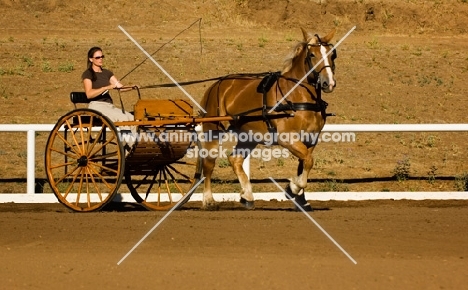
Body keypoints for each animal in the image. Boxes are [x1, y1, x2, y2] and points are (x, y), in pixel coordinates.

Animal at [199, 27, 338, 211]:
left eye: (332, 54)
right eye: (312, 55)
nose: (328, 83)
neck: (297, 95)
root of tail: (216, 85)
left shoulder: (310, 139)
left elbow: (304, 164)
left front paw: (300, 199)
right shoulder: (287, 138)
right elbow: (308, 161)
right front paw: (292, 188)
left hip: (248, 135)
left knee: (235, 159)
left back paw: (247, 195)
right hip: (213, 130)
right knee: (209, 163)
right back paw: (208, 199)